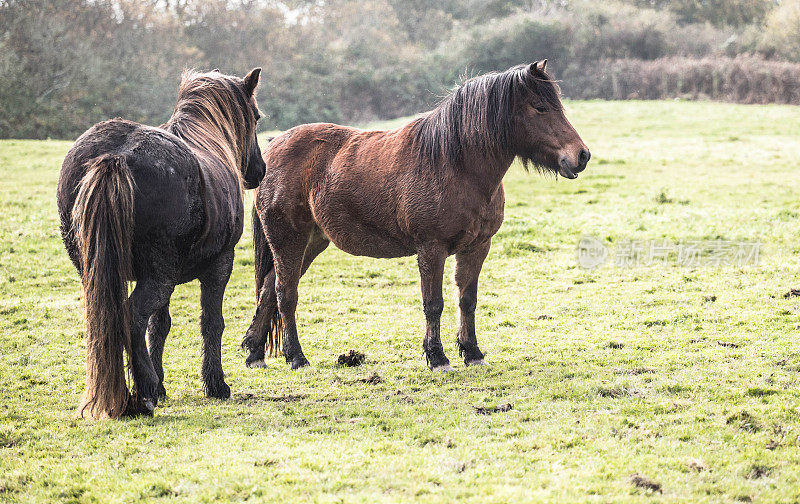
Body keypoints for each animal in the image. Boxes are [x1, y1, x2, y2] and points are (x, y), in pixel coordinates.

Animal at [57, 69, 268, 420]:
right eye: (256, 116)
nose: (259, 171)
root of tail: (116, 155)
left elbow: (159, 326)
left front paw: (163, 385)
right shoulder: (219, 266)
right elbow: (212, 323)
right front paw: (216, 384)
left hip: (103, 274)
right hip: (160, 276)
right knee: (131, 317)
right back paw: (143, 393)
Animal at [242, 62, 588, 370]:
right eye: (540, 107)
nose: (581, 156)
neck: (454, 164)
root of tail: (272, 148)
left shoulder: (477, 247)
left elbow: (467, 300)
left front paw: (472, 353)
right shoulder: (431, 248)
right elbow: (433, 303)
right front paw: (437, 358)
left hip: (311, 241)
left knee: (269, 289)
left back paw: (255, 354)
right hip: (288, 239)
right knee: (285, 293)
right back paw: (296, 358)